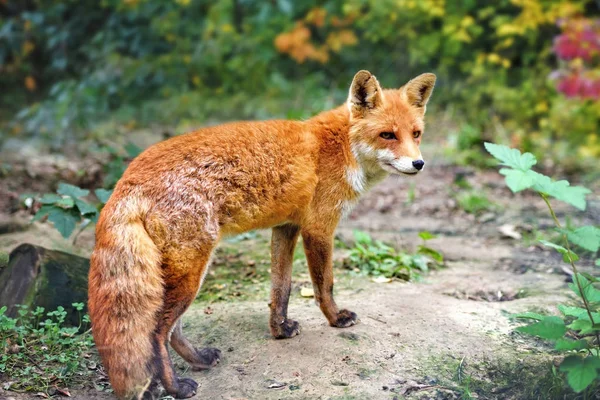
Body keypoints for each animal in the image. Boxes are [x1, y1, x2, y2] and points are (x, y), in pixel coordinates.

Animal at [88, 70, 436, 398]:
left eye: (416, 134)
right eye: (387, 135)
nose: (419, 163)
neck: (341, 147)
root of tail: (127, 178)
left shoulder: (286, 227)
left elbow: (281, 289)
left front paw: (279, 330)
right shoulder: (319, 227)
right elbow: (324, 285)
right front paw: (336, 319)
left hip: (181, 274)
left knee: (172, 330)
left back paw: (199, 360)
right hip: (191, 271)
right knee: (157, 332)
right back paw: (176, 388)